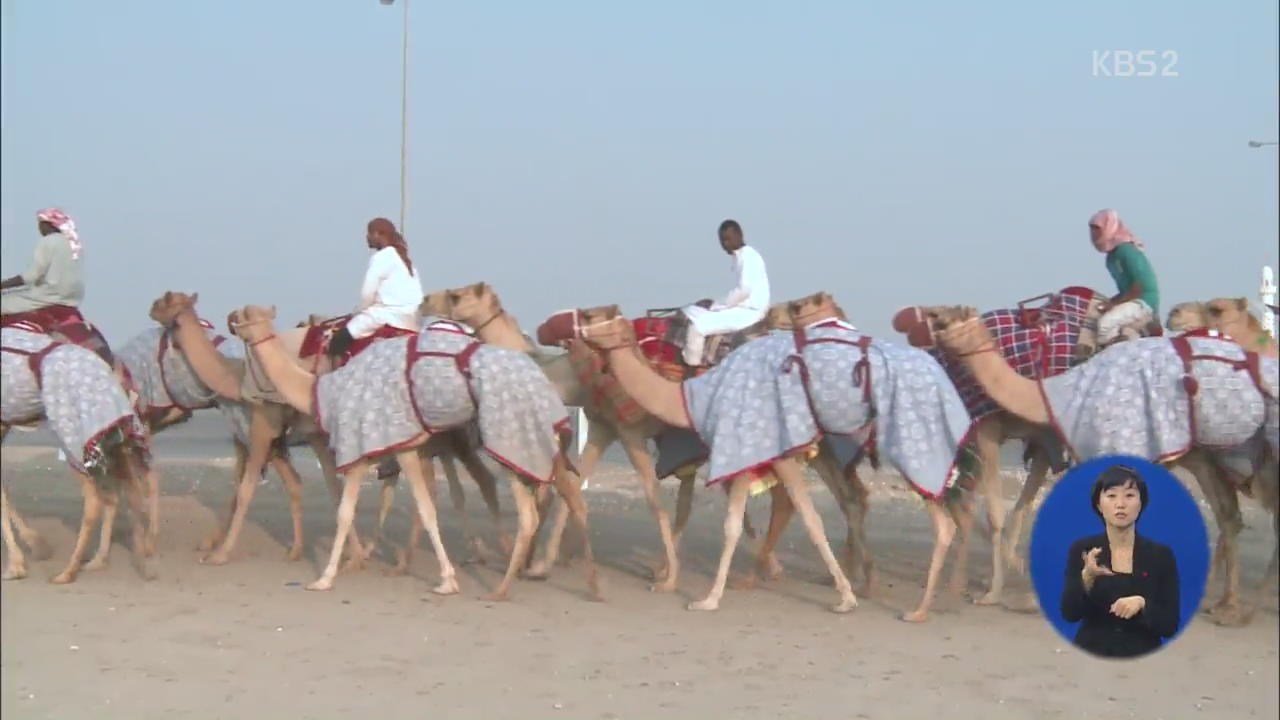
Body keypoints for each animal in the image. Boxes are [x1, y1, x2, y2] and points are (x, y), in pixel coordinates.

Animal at [1, 325, 156, 584]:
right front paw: (34, 550)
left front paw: (17, 564)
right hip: (112, 434)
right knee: (128, 490)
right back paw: (135, 562)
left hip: (75, 434)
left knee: (96, 499)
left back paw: (67, 572)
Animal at [226, 299, 599, 597]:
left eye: (244, 314)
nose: (230, 319)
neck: (320, 388)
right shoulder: (396, 447)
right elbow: (413, 506)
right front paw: (443, 577)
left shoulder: (369, 445)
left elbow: (354, 510)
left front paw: (325, 578)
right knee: (546, 497)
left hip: (506, 440)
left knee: (528, 506)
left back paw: (510, 583)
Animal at [931, 304, 1280, 625]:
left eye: (950, 318)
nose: (934, 327)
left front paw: (1004, 594)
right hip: (1202, 455)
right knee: (1229, 517)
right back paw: (1224, 606)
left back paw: (1236, 610)